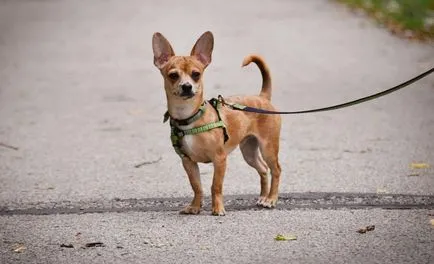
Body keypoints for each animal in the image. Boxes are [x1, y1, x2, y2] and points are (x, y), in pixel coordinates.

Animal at [152, 31, 282, 217]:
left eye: (196, 74)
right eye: (173, 75)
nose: (187, 86)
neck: (190, 117)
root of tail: (262, 97)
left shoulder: (219, 159)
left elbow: (216, 186)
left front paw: (218, 208)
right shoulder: (188, 162)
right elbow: (197, 186)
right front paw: (195, 207)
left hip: (268, 148)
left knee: (276, 170)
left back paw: (271, 199)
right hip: (249, 152)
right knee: (263, 169)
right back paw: (263, 197)